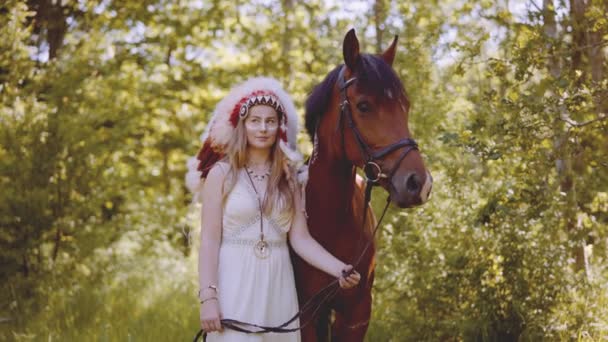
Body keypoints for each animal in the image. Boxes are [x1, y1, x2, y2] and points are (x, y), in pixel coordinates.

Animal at [290, 29, 430, 342]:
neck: (330, 221)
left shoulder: (357, 314)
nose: (419, 183)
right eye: (364, 105)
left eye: (405, 106)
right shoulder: (305, 314)